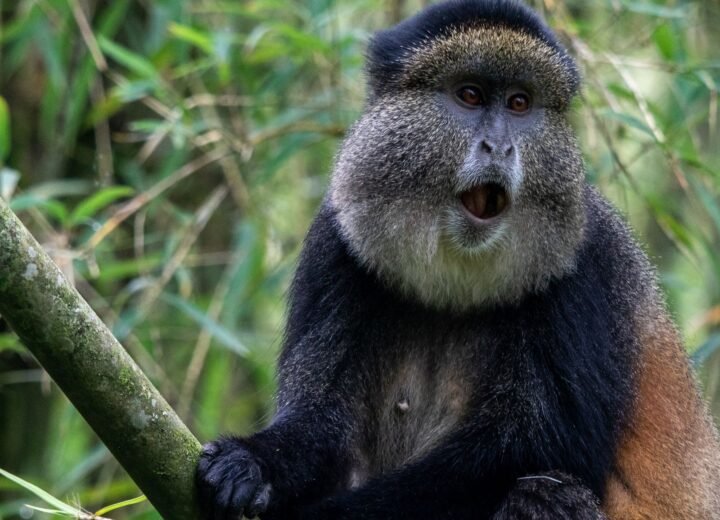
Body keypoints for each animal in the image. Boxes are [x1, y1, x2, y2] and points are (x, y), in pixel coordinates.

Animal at [196, 0, 720, 518]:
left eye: (519, 103)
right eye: (469, 95)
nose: (500, 146)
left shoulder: (587, 262)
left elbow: (530, 451)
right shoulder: (335, 242)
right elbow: (319, 424)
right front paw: (250, 462)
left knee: (546, 492)